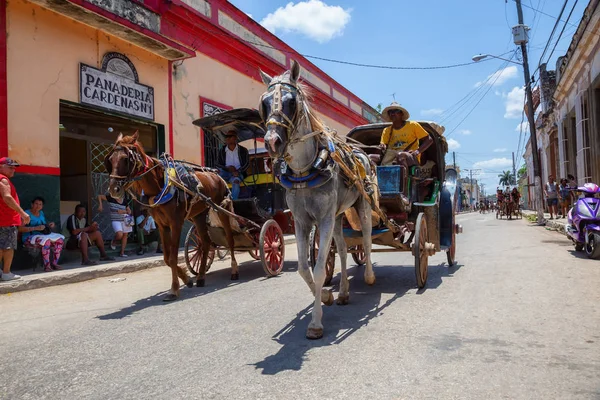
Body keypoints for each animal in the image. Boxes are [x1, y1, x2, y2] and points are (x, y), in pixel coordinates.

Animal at [105, 133, 239, 302]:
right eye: (110, 160)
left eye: (125, 159)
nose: (113, 189)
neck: (160, 186)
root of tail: (216, 175)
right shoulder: (162, 225)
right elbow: (167, 258)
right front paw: (187, 279)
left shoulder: (176, 223)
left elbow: (174, 257)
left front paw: (174, 289)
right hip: (199, 215)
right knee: (206, 243)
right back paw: (201, 277)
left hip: (222, 210)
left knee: (230, 239)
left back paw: (234, 270)